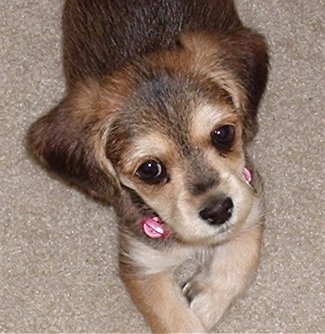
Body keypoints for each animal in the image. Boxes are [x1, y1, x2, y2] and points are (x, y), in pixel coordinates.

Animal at [27, 1, 268, 332]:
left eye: (223, 134)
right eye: (150, 169)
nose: (219, 211)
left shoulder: (250, 203)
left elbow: (239, 264)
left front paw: (203, 300)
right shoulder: (143, 264)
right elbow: (177, 321)